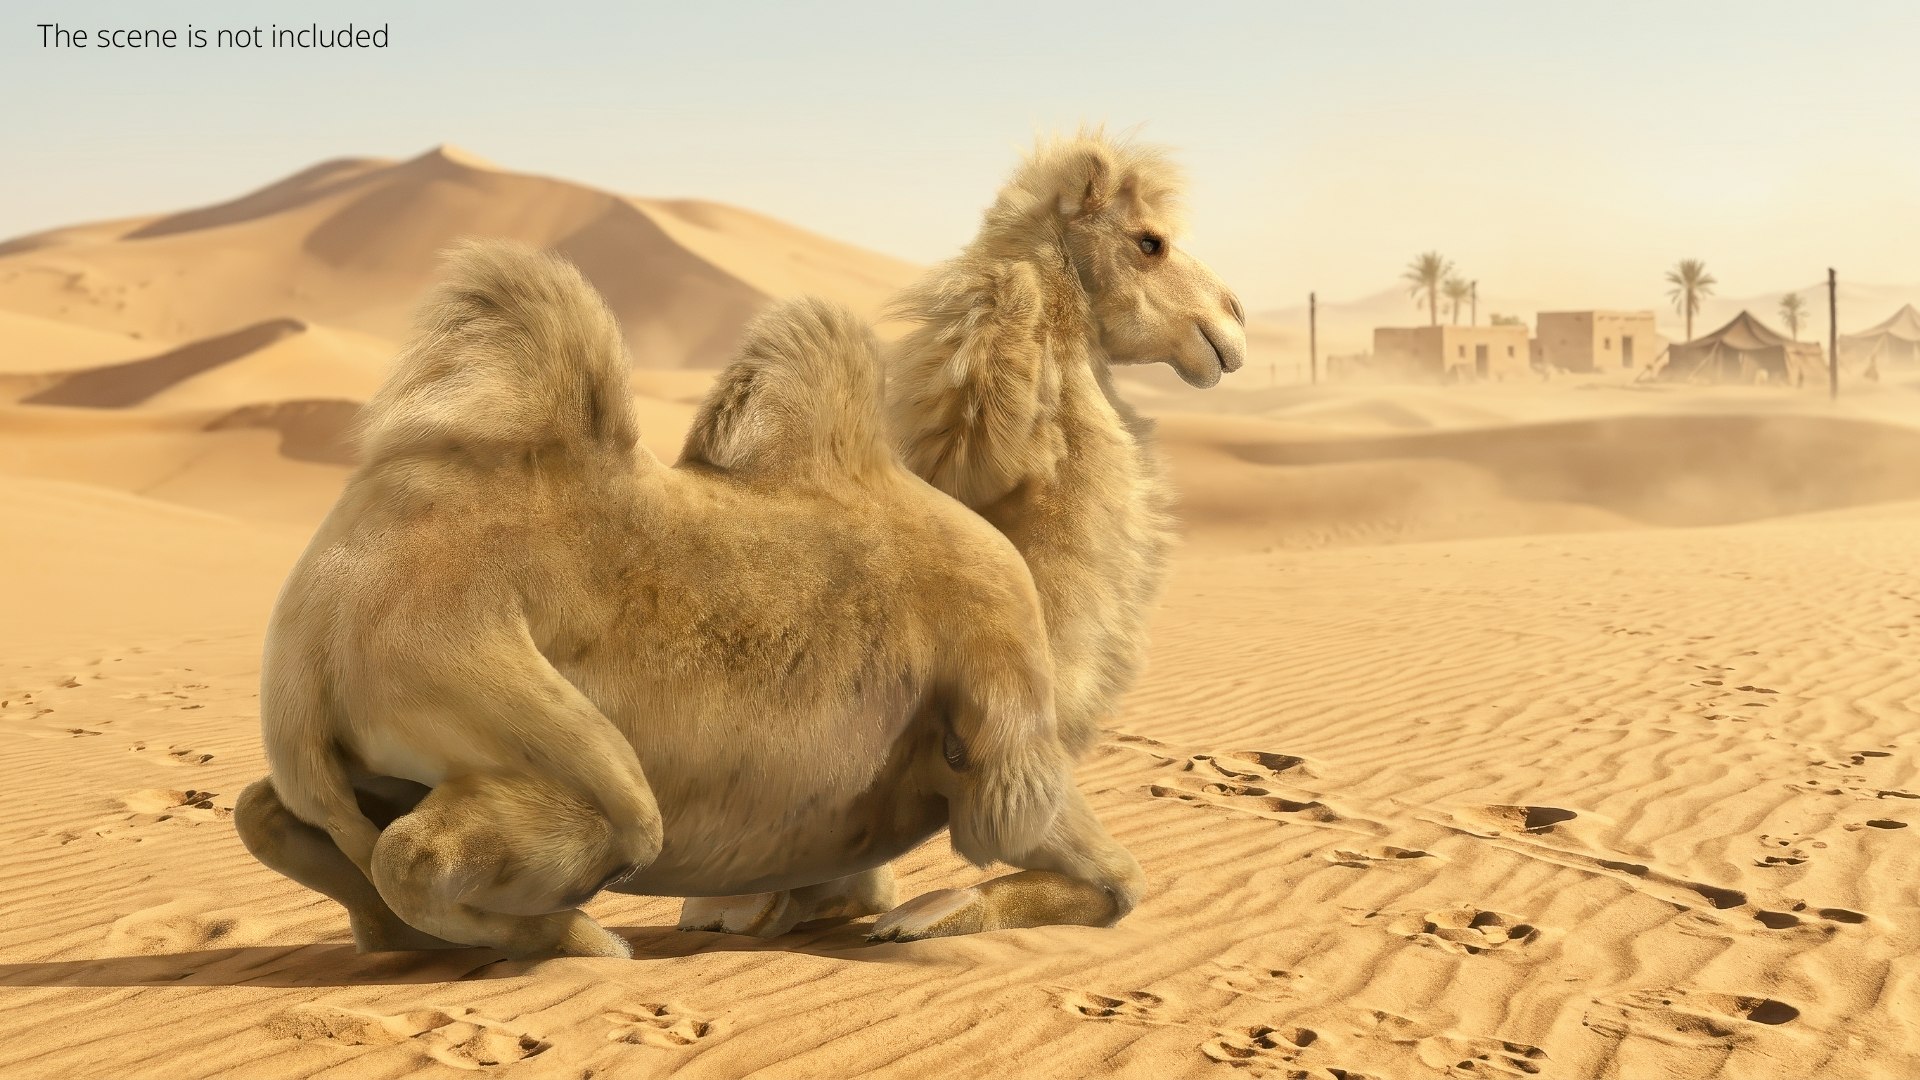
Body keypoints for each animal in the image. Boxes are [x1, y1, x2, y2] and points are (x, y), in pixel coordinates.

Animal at [231, 241, 1145, 957]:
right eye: (1146, 242)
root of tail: (309, 659)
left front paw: (771, 912)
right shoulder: (999, 709)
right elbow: (1087, 865)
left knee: (277, 817)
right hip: (487, 685)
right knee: (474, 844)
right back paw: (581, 937)